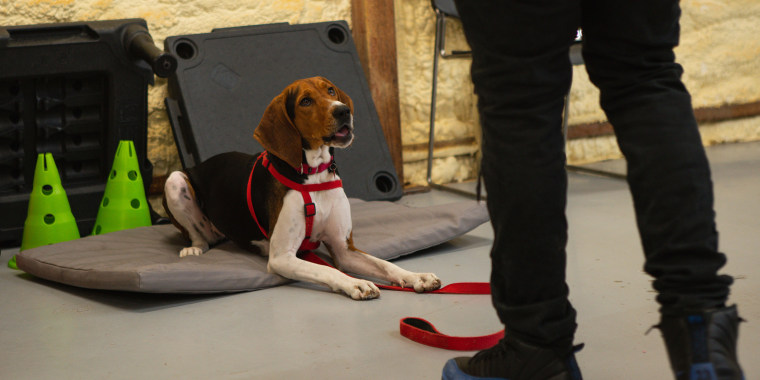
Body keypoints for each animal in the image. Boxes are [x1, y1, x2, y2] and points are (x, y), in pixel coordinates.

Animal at [163, 76, 442, 300]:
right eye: (305, 101)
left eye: (331, 90)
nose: (343, 111)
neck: (314, 174)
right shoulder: (282, 257)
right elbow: (325, 268)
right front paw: (356, 283)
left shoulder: (344, 250)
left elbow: (384, 264)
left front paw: (415, 276)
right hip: (174, 180)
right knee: (199, 236)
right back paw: (194, 248)